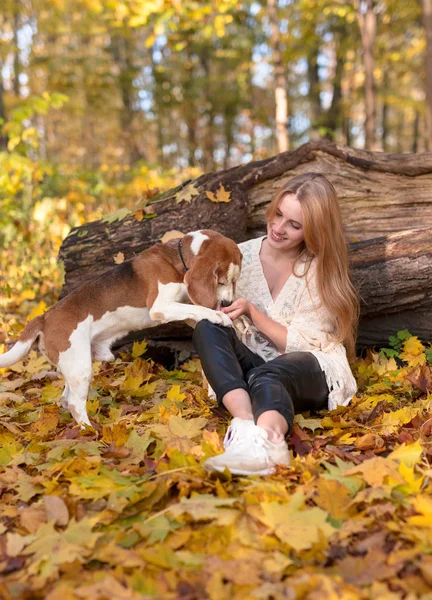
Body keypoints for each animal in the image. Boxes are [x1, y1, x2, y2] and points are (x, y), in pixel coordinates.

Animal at [0, 230, 241, 426]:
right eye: (221, 281)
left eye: (234, 281)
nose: (227, 303)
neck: (176, 260)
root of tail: (44, 317)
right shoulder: (160, 308)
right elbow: (199, 310)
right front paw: (219, 315)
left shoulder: (181, 307)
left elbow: (195, 310)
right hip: (80, 367)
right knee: (75, 404)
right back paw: (89, 430)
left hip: (74, 366)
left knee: (65, 398)